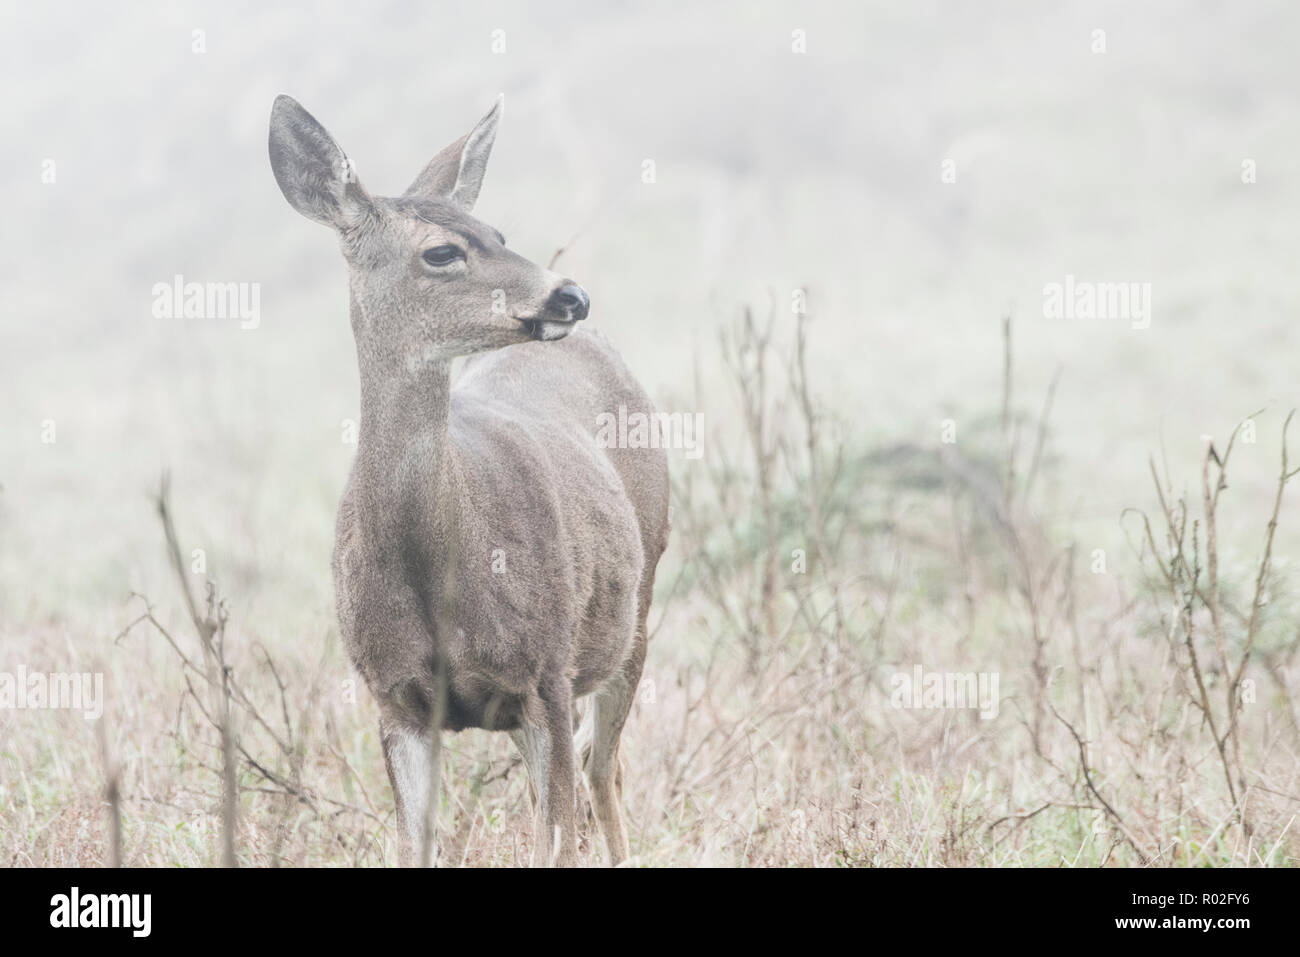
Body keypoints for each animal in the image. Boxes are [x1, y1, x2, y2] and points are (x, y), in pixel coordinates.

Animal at [265, 91, 670, 868]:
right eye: (442, 251)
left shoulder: (545, 672)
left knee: (604, 769)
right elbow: (416, 846)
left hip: (634, 612)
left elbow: (555, 841)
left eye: (497, 231)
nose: (570, 295)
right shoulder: (396, 699)